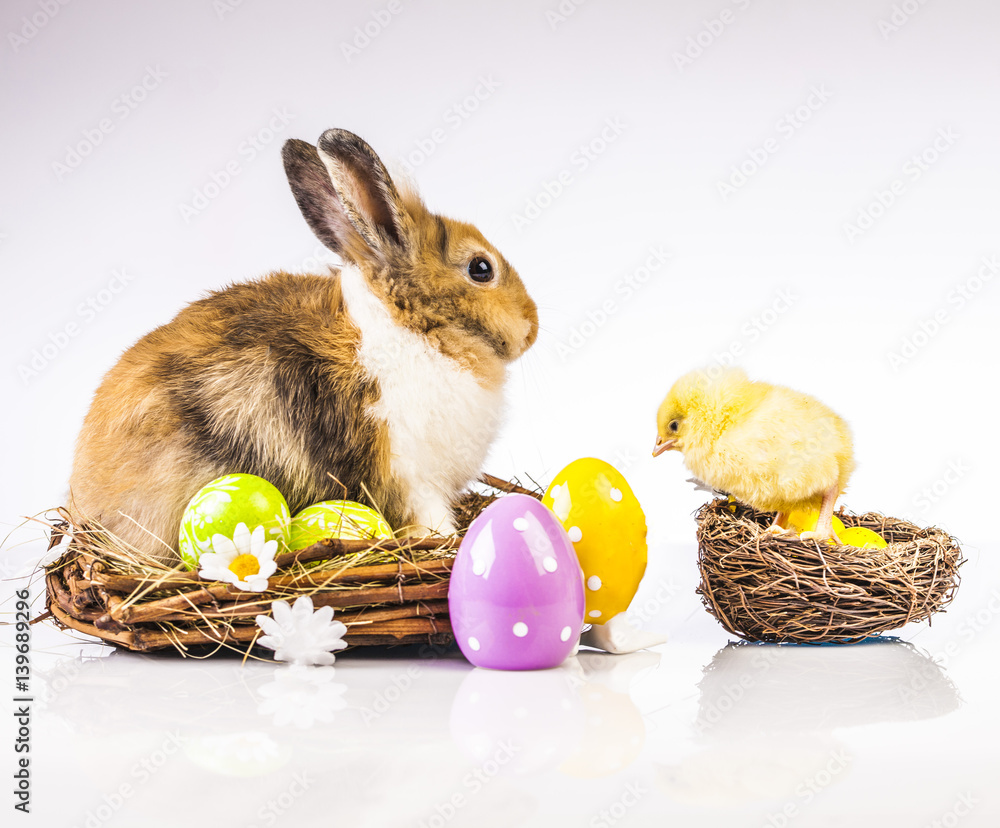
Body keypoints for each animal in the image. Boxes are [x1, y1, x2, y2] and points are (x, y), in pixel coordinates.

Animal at [68, 126, 540, 564]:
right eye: (481, 269)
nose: (532, 328)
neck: (413, 324)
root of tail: (84, 500)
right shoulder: (411, 480)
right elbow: (427, 520)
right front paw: (446, 541)